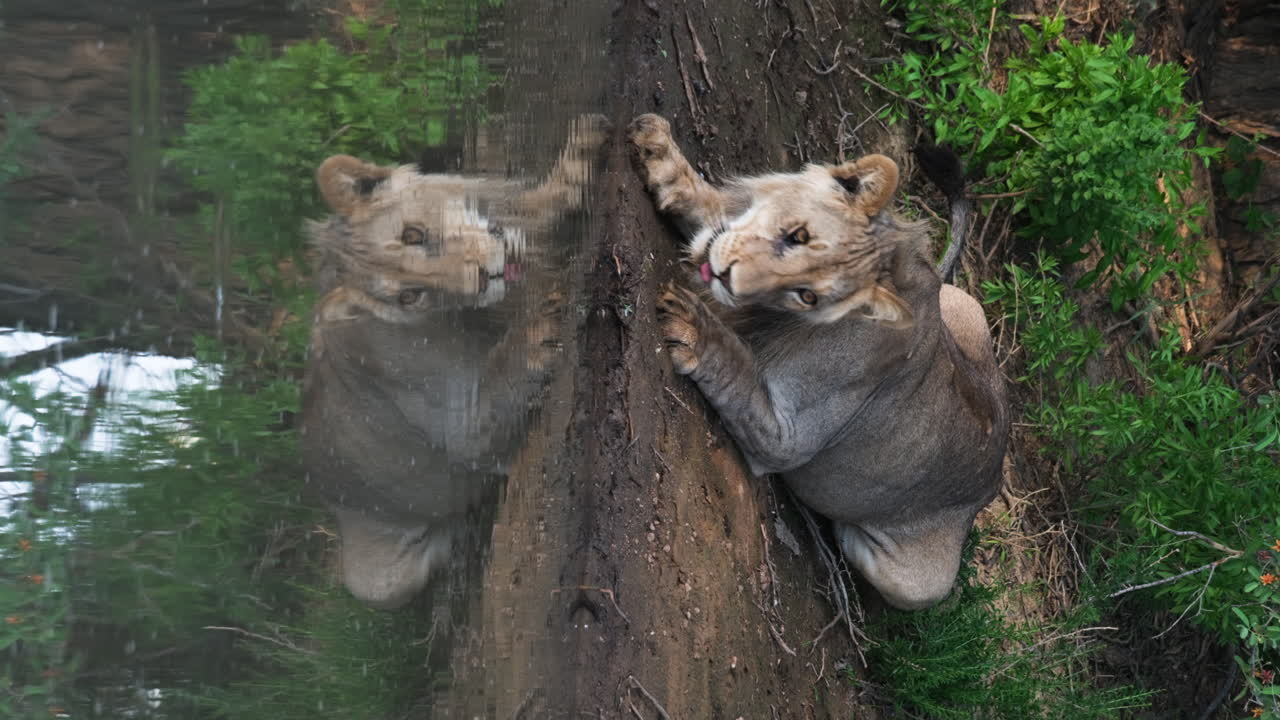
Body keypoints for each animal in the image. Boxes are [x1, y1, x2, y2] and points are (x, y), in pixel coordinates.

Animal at [303, 115, 604, 609]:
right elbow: (501, 378)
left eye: (414, 235)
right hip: (379, 584)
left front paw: (586, 144)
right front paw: (537, 326)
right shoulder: (461, 427)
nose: (485, 277)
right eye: (411, 296)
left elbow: (543, 199)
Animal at [629, 113, 1008, 610]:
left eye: (808, 296)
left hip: (918, 586)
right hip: (966, 302)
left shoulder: (788, 439)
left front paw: (694, 327)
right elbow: (708, 204)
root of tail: (994, 478)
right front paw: (659, 151)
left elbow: (737, 373)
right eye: (798, 236)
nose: (727, 280)